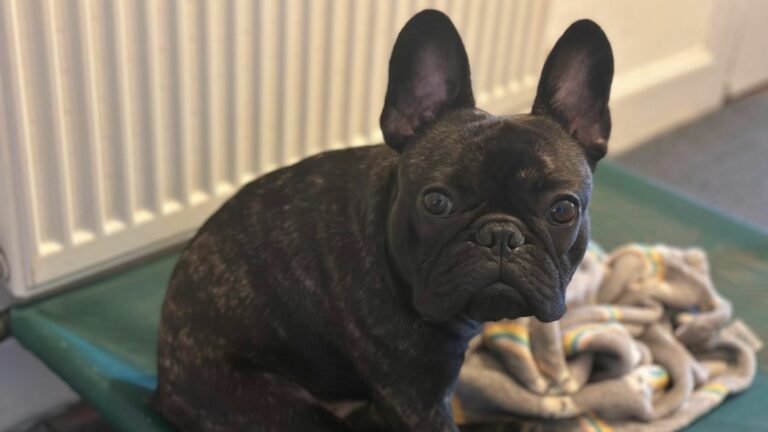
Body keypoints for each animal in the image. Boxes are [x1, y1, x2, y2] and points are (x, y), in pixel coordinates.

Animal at [153, 8, 616, 430]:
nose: (501, 234)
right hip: (284, 408)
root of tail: (163, 384)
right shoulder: (417, 400)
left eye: (563, 209)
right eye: (436, 203)